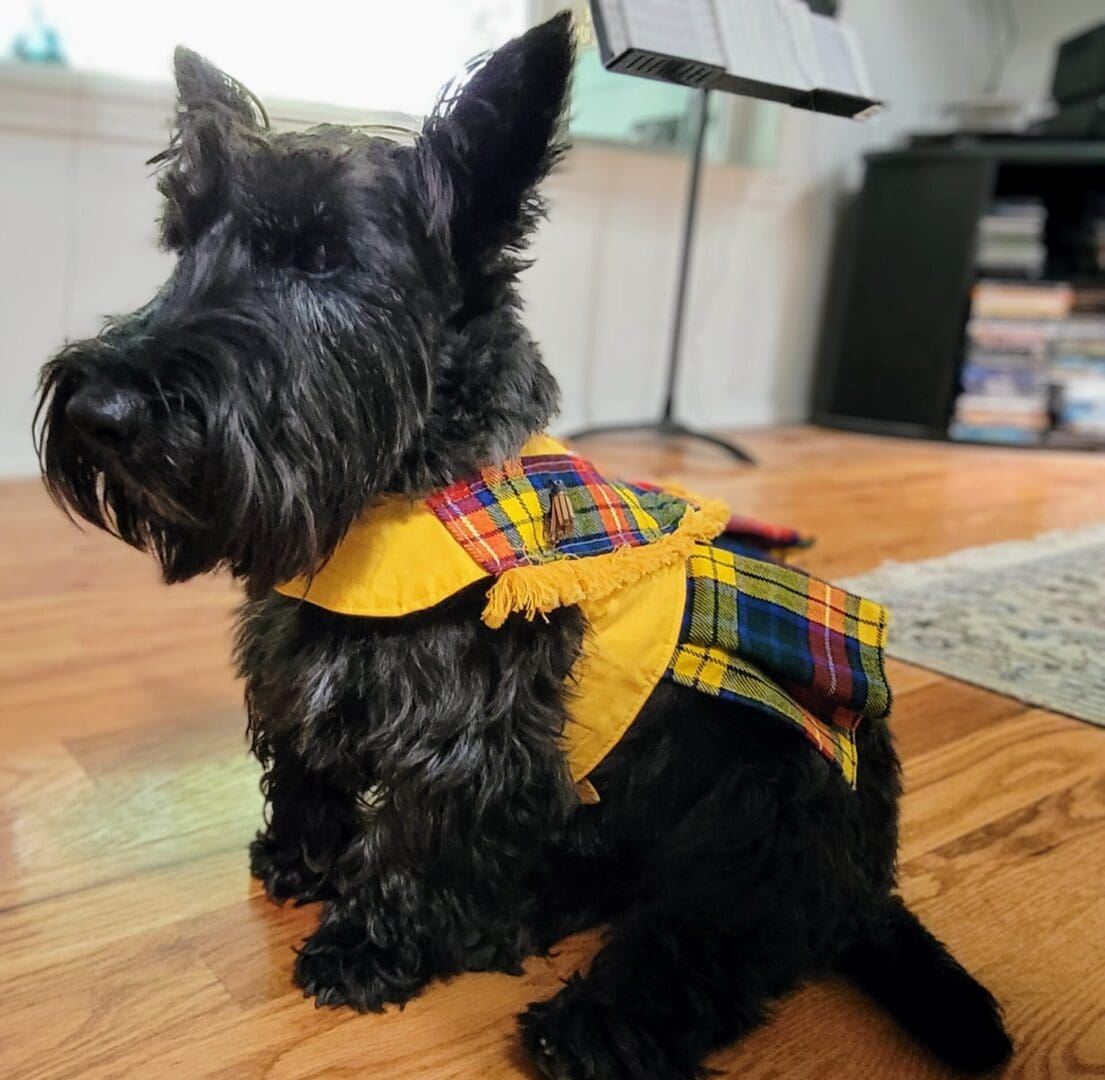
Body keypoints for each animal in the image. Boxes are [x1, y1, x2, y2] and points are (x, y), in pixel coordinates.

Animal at [38, 16, 1012, 1078]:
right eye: (183, 242)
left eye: (321, 254)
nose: (99, 411)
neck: (392, 497)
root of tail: (868, 879)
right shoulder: (297, 673)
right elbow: (305, 765)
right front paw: (297, 861)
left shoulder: (462, 740)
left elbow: (413, 843)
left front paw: (363, 946)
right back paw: (516, 914)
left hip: (763, 810)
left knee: (704, 940)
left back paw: (587, 1023)